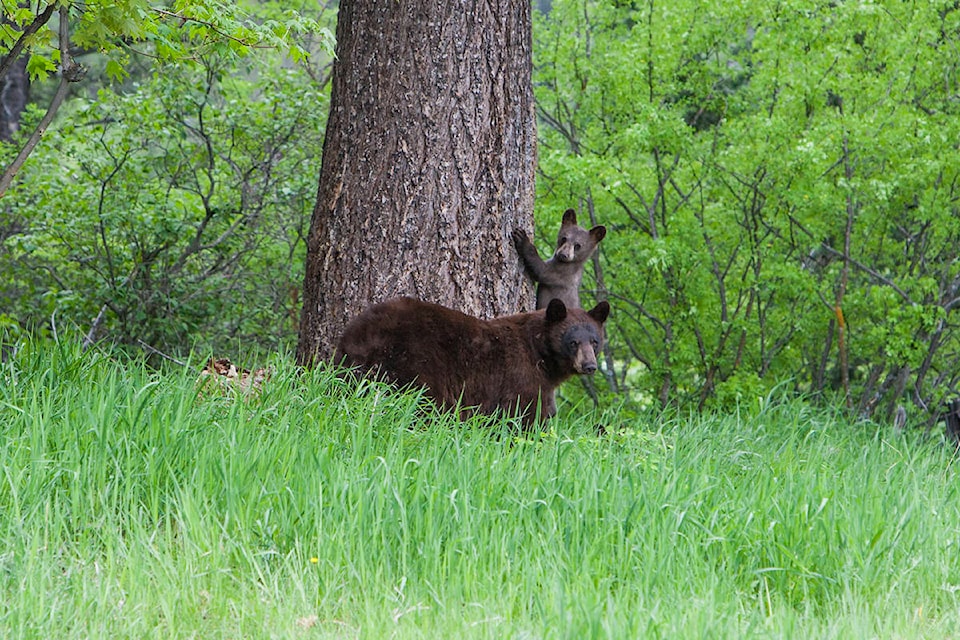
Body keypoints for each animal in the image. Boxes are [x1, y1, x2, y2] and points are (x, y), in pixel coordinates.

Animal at [336, 298, 608, 428]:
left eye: (594, 341)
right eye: (573, 341)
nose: (590, 366)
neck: (541, 355)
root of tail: (357, 332)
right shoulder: (521, 377)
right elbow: (523, 415)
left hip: (350, 366)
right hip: (414, 364)